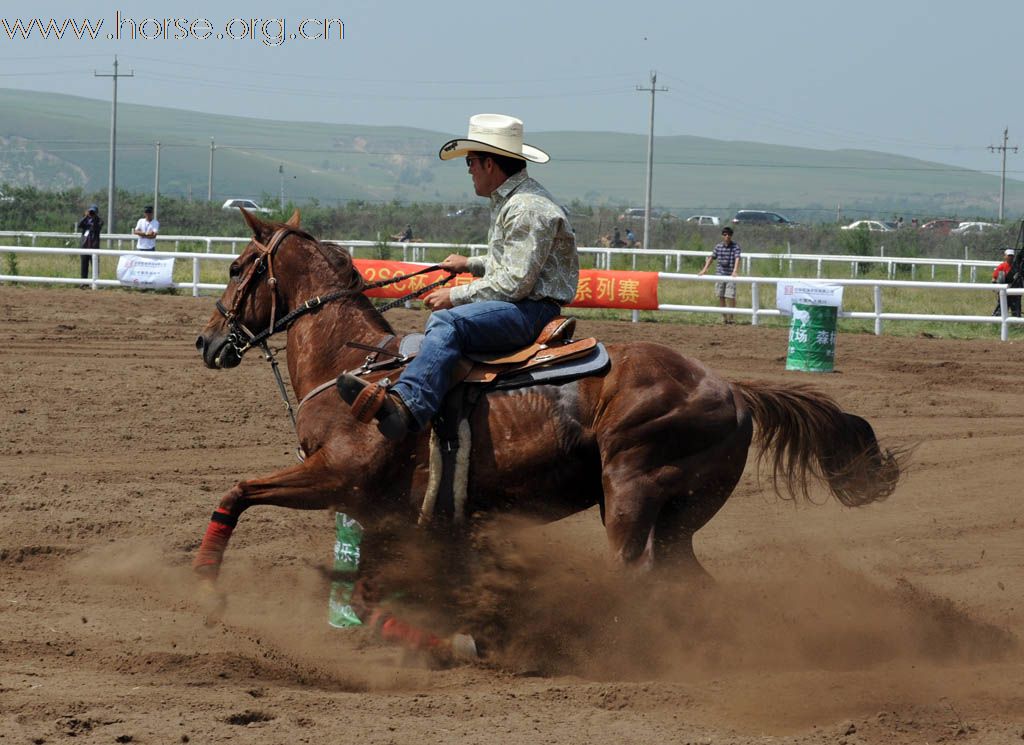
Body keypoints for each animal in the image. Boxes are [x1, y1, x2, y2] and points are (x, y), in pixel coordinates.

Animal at [192, 207, 905, 650]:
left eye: (236, 267)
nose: (207, 341)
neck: (361, 372)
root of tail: (734, 391)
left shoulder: (336, 478)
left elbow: (237, 492)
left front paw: (204, 585)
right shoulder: (386, 513)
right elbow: (371, 593)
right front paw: (456, 636)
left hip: (631, 494)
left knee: (634, 576)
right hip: (678, 516)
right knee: (686, 582)